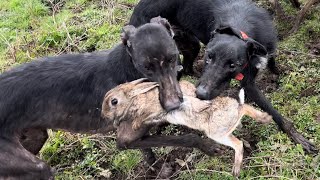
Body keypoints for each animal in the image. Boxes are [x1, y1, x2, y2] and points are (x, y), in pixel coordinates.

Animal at [0, 17, 221, 179]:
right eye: (146, 67)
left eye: (172, 57)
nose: (173, 105)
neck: (129, 68)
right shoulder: (124, 140)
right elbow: (184, 138)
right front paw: (208, 146)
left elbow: (149, 151)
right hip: (35, 167)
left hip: (34, 138)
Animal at [101, 78, 272, 176]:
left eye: (113, 101)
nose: (105, 116)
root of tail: (235, 109)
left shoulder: (154, 108)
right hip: (224, 130)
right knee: (244, 111)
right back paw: (265, 118)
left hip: (217, 132)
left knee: (239, 142)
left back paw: (236, 170)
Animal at [130, 0, 318, 153]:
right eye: (209, 56)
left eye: (233, 65)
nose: (201, 94)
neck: (241, 29)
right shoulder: (248, 85)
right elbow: (273, 112)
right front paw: (296, 135)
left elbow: (272, 65)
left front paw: (277, 72)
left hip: (190, 46)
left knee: (188, 68)